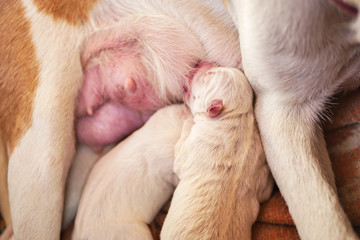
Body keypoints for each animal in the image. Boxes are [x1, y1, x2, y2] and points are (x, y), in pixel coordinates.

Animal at [160, 67, 272, 240]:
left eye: (208, 75)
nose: (199, 64)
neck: (235, 117)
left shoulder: (192, 147)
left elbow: (179, 158)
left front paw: (187, 117)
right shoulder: (259, 163)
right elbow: (266, 190)